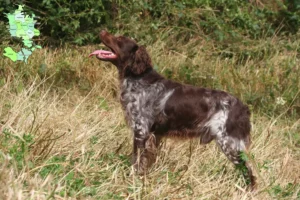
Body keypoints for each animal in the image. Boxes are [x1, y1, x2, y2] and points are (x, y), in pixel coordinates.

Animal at [89, 29, 255, 189]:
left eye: (119, 39)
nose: (102, 30)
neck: (138, 78)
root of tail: (243, 108)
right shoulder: (154, 136)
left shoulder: (141, 131)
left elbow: (137, 160)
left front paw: (134, 179)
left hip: (230, 144)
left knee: (250, 171)